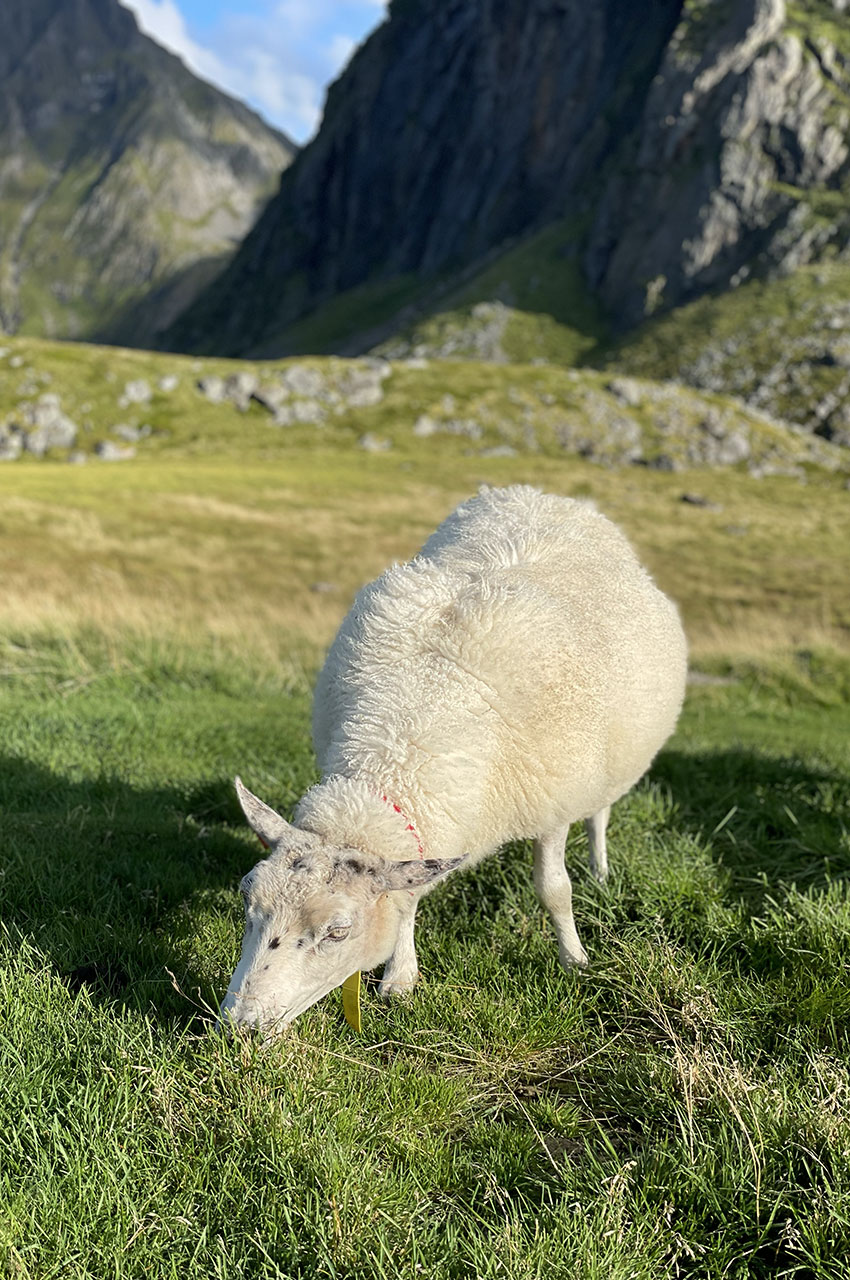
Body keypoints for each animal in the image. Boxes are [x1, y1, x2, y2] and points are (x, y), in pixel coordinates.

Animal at [217, 483, 686, 1034]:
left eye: (337, 932)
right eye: (246, 898)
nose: (236, 1025)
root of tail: (538, 494)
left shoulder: (551, 801)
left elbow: (554, 889)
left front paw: (575, 960)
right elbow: (407, 900)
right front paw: (400, 977)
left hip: (609, 765)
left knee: (599, 816)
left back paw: (601, 870)